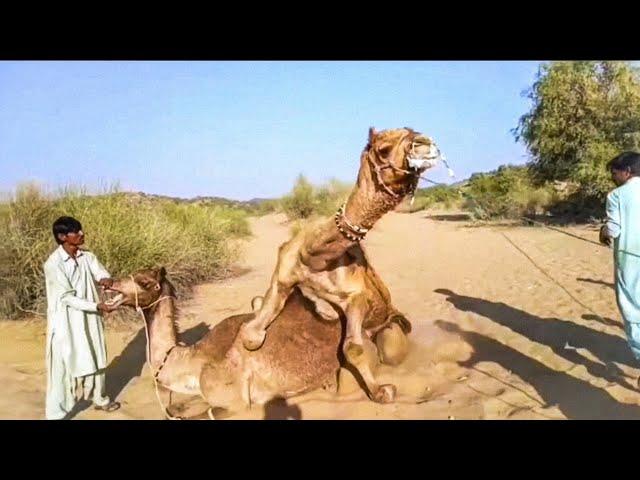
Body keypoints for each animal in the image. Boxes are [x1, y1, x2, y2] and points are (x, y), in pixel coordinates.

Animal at [102, 266, 408, 416]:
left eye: (144, 281)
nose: (106, 282)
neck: (191, 361)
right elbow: (174, 407)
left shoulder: (235, 402)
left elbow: (204, 412)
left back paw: (383, 390)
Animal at [240, 125, 444, 404]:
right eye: (383, 149)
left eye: (413, 131)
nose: (426, 143)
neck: (314, 257)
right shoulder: (282, 275)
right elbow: (251, 333)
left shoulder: (356, 296)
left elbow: (353, 347)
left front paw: (381, 391)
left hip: (392, 325)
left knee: (390, 347)